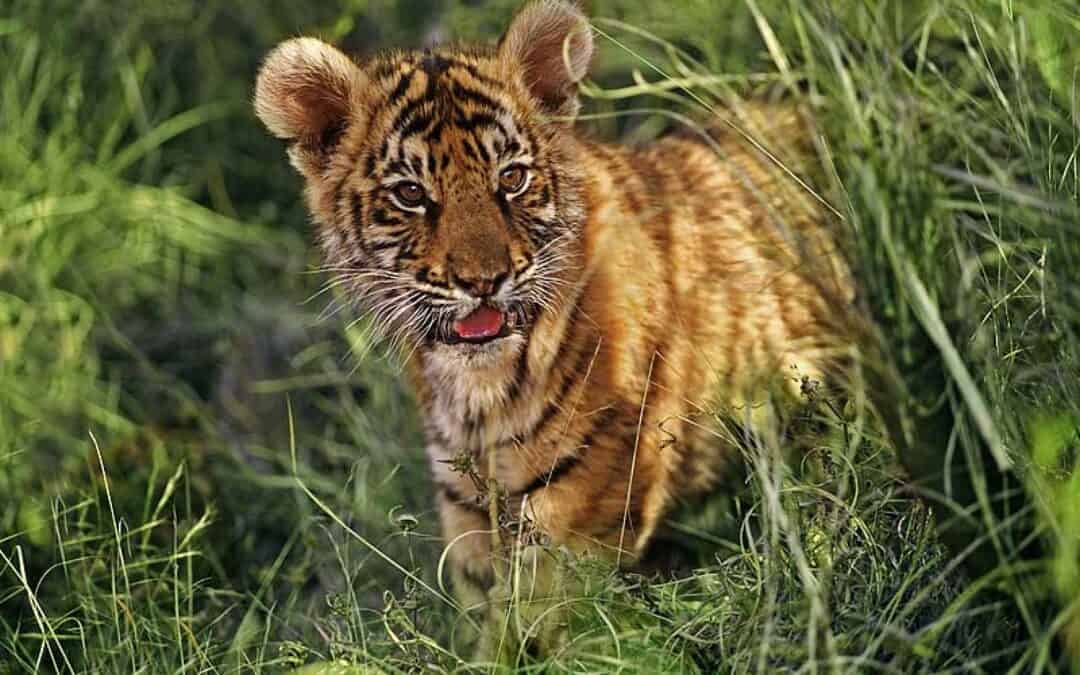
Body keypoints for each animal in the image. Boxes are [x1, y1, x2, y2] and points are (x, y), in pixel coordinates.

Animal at [255, 0, 853, 656]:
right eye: (411, 193)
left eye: (511, 179)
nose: (483, 281)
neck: (478, 398)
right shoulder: (468, 505)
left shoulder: (582, 499)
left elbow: (542, 623)